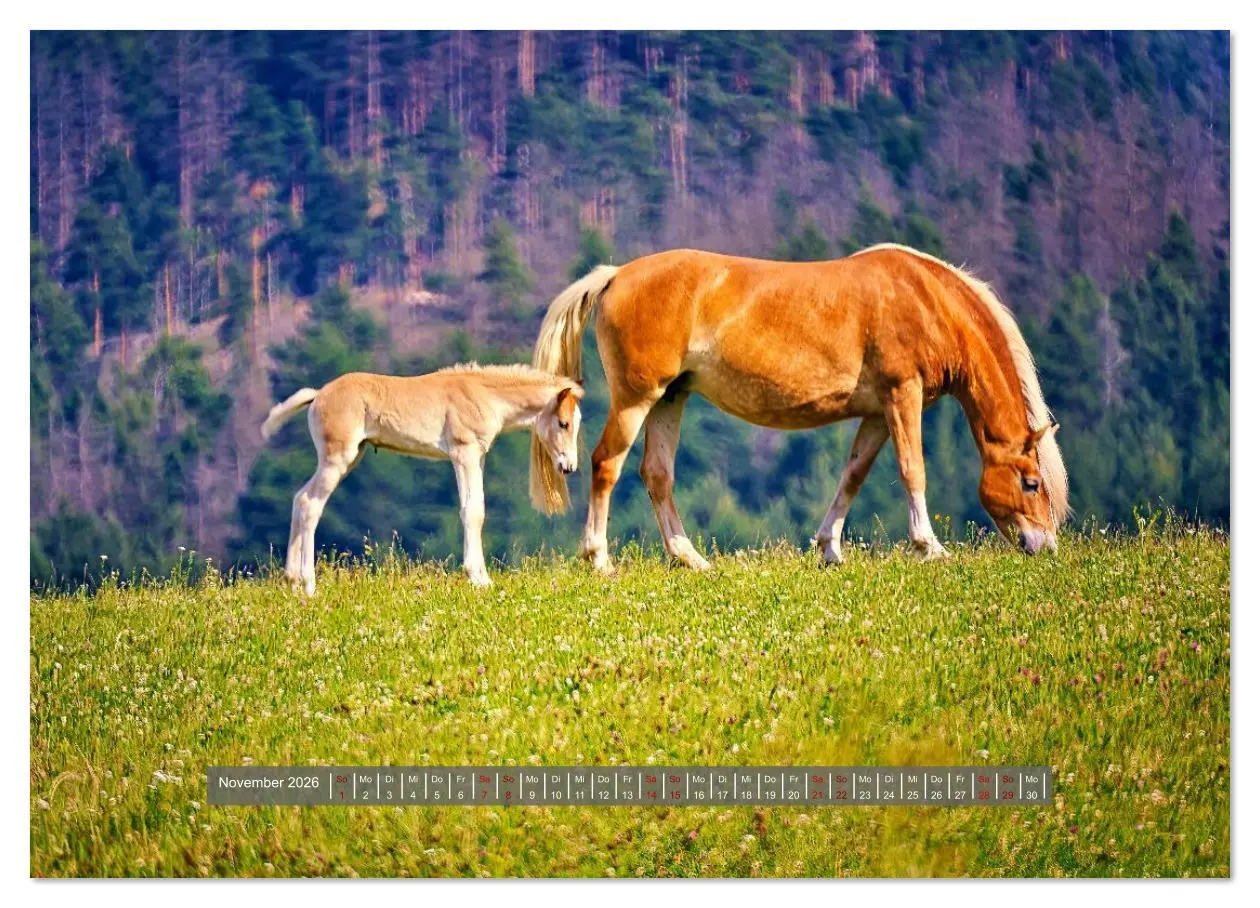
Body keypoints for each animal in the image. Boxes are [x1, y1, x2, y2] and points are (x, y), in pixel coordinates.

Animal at [260, 364, 583, 592]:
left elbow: (478, 509)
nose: (568, 466)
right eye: (563, 423)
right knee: (310, 504)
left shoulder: (477, 457)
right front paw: (478, 579)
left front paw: (482, 576)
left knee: (299, 499)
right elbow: (471, 512)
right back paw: (308, 585)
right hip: (337, 458)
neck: (484, 394)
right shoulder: (463, 453)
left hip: (351, 457)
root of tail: (318, 394)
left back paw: (291, 582)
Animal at [530, 244, 1068, 572]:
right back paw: (599, 558)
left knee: (657, 474)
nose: (1046, 546)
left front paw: (829, 548)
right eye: (1030, 482)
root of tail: (616, 275)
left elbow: (853, 475)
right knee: (606, 464)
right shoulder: (903, 393)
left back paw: (689, 558)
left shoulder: (878, 412)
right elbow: (912, 469)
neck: (925, 299)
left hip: (669, 398)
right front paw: (929, 547)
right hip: (637, 398)